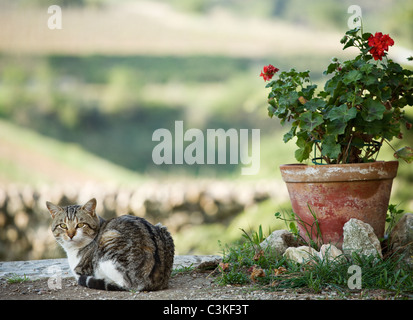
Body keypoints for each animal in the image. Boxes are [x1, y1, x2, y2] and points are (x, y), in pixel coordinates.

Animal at [46, 198, 174, 290]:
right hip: (162, 229)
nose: (71, 234)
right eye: (63, 225)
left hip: (109, 238)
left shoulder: (82, 270)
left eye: (80, 225)